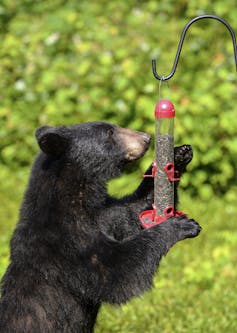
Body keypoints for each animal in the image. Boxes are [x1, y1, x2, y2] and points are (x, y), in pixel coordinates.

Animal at [0, 122, 200, 332]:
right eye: (109, 132)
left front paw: (179, 154)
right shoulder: (66, 244)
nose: (146, 137)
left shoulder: (103, 215)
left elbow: (133, 210)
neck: (76, 198)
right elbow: (116, 269)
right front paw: (182, 224)